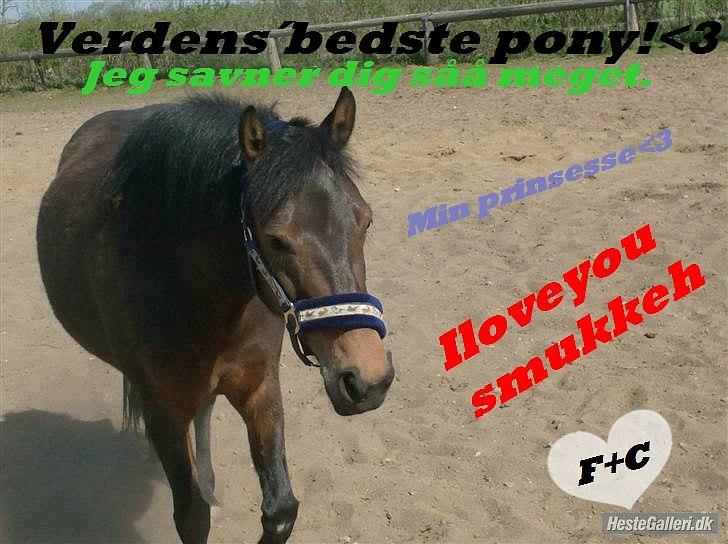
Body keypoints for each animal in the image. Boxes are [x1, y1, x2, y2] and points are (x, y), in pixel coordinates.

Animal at [36, 87, 395, 544]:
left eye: (365, 221)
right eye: (276, 240)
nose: (367, 377)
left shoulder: (260, 388)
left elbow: (280, 510)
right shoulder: (164, 410)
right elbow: (192, 515)